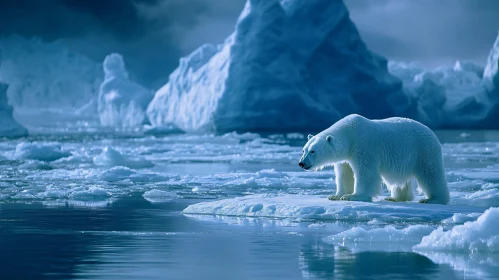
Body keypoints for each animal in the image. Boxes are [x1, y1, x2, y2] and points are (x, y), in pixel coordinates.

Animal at [298, 115, 452, 205]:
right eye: (304, 150)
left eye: (313, 151)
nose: (302, 163)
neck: (350, 134)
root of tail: (431, 132)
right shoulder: (346, 157)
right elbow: (345, 174)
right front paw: (336, 196)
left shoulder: (363, 147)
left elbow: (365, 173)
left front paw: (353, 196)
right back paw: (395, 198)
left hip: (423, 151)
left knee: (430, 174)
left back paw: (432, 199)